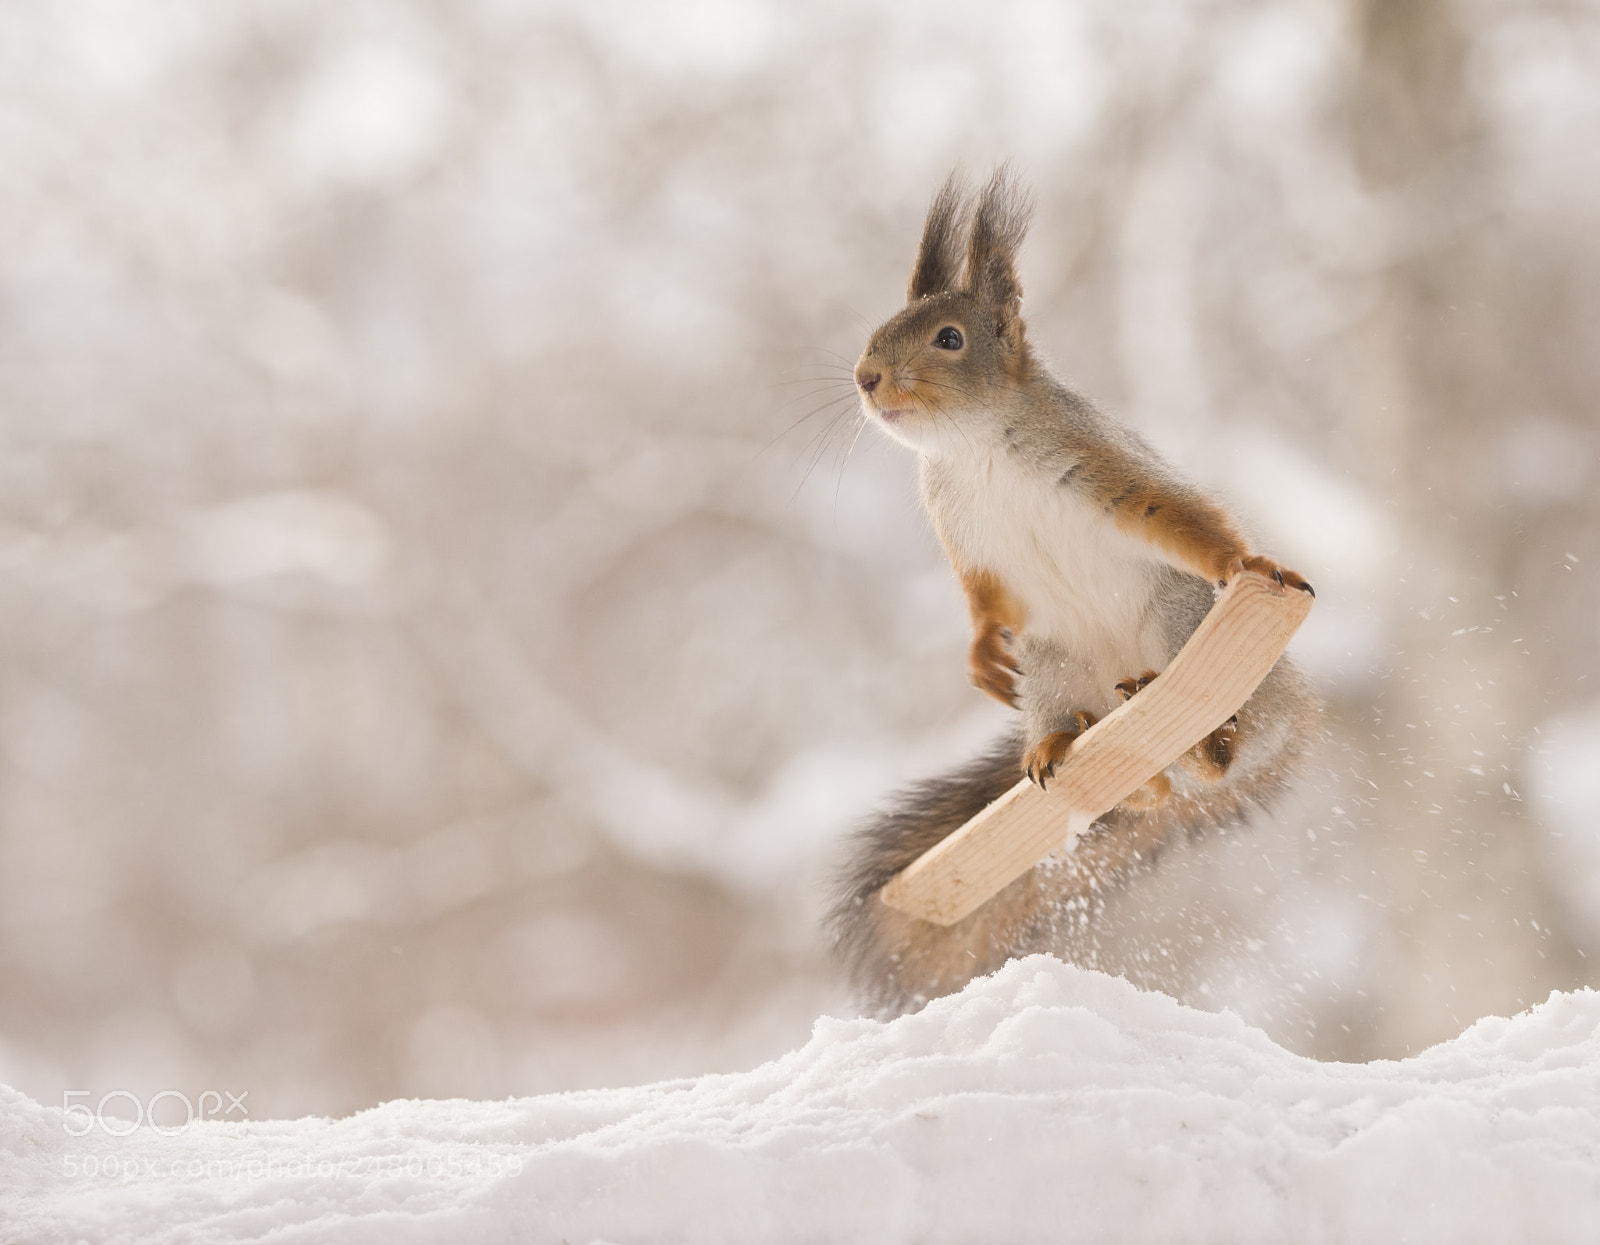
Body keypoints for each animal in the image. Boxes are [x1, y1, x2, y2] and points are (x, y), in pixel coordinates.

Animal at [827, 168, 1322, 1016]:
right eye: (883, 329)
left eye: (949, 338)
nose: (866, 378)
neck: (975, 447)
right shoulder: (962, 534)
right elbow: (981, 597)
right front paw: (980, 657)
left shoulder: (1098, 460)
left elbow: (1171, 513)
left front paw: (1245, 562)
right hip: (1054, 669)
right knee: (1139, 785)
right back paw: (1088, 750)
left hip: (1178, 620)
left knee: (1219, 748)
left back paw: (1202, 735)